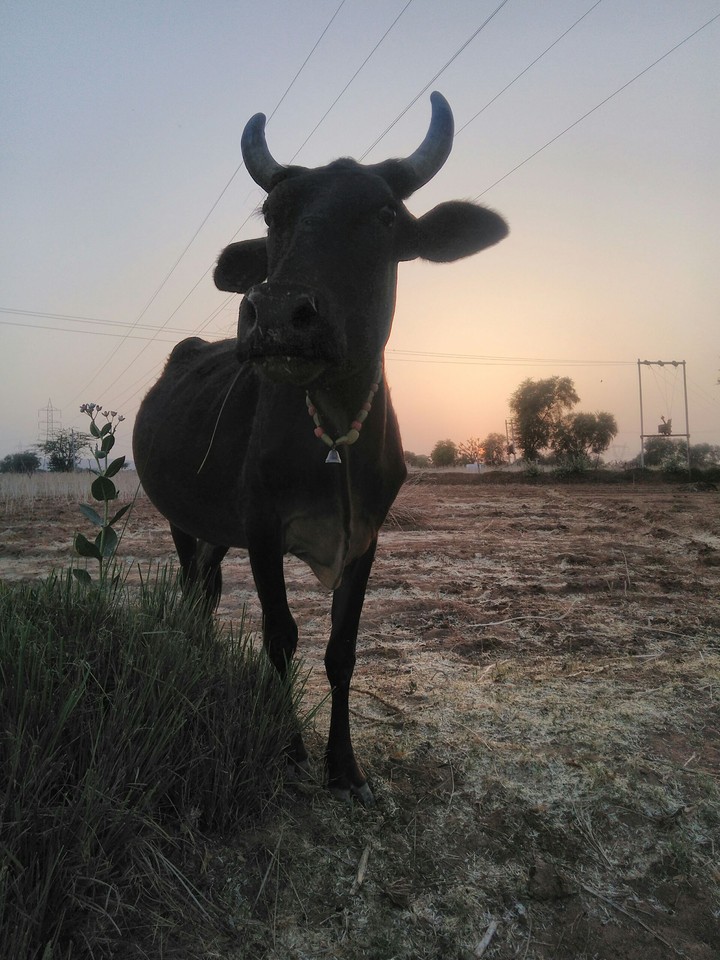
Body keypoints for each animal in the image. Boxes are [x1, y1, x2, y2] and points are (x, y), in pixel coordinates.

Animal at [133, 92, 508, 804]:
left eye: (385, 213)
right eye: (274, 215)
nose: (279, 314)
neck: (333, 434)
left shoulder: (366, 536)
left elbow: (341, 650)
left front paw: (344, 766)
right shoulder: (261, 525)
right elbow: (282, 637)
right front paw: (289, 750)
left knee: (207, 591)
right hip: (183, 521)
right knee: (194, 590)